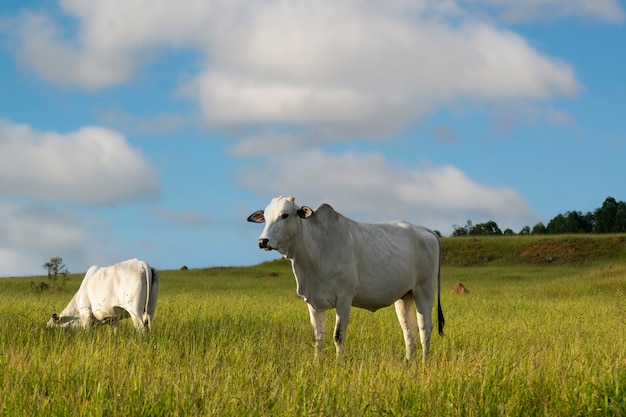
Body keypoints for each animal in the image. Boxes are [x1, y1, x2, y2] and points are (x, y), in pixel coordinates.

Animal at [246, 195, 442, 360]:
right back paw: (408, 363)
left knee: (425, 328)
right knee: (409, 331)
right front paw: (317, 364)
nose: (263, 241)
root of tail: (425, 230)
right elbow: (318, 338)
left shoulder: (344, 298)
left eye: (285, 215)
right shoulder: (312, 302)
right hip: (404, 296)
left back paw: (424, 363)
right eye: (265, 216)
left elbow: (338, 336)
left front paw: (338, 365)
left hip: (425, 290)